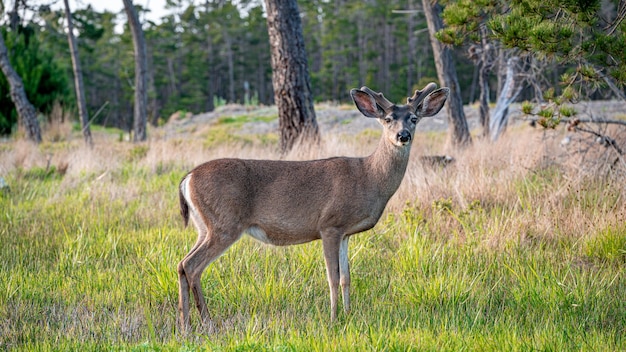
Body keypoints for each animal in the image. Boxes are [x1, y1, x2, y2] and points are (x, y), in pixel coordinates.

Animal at [178, 83, 446, 332]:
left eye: (413, 118)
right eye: (388, 119)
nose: (403, 135)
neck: (368, 178)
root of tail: (187, 179)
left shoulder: (345, 233)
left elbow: (347, 277)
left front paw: (348, 314)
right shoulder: (329, 224)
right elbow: (332, 277)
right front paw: (334, 318)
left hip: (205, 226)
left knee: (182, 264)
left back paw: (185, 323)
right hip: (225, 223)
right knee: (192, 266)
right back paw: (206, 322)